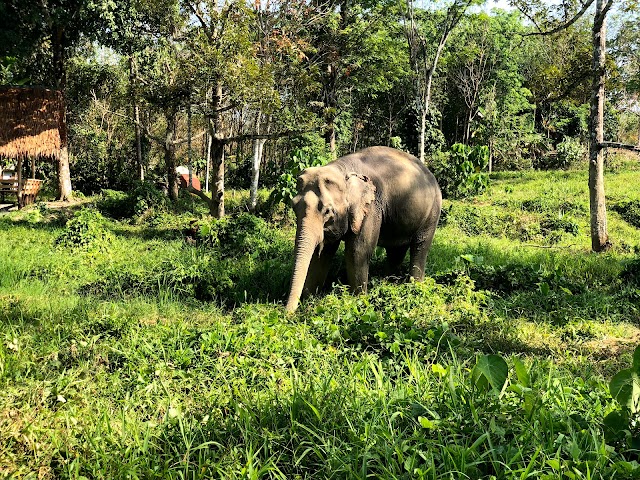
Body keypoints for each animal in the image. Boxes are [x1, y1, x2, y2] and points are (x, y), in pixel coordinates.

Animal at [284, 144, 440, 314]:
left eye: (327, 211)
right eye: (293, 206)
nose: (288, 314)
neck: (342, 170)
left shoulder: (371, 207)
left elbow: (358, 251)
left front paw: (359, 302)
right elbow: (323, 254)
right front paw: (310, 301)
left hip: (432, 213)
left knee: (420, 246)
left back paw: (415, 286)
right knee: (396, 250)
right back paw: (388, 283)